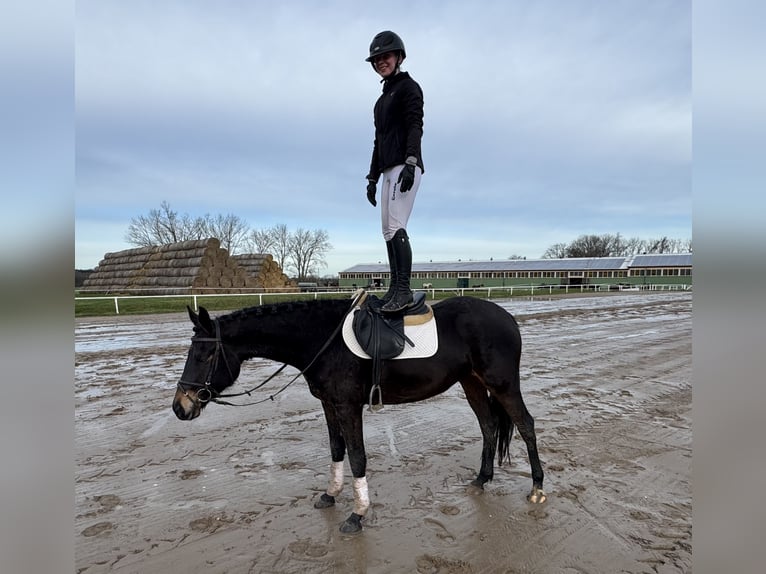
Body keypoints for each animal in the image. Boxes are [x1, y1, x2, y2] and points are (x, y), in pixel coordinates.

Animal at [174, 296, 544, 536]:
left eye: (205, 354)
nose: (181, 406)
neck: (322, 340)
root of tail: (507, 317)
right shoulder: (329, 405)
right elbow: (336, 449)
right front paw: (330, 495)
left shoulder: (348, 406)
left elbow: (357, 457)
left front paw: (357, 514)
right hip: (471, 382)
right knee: (489, 425)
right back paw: (482, 478)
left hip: (503, 384)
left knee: (525, 425)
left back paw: (537, 488)